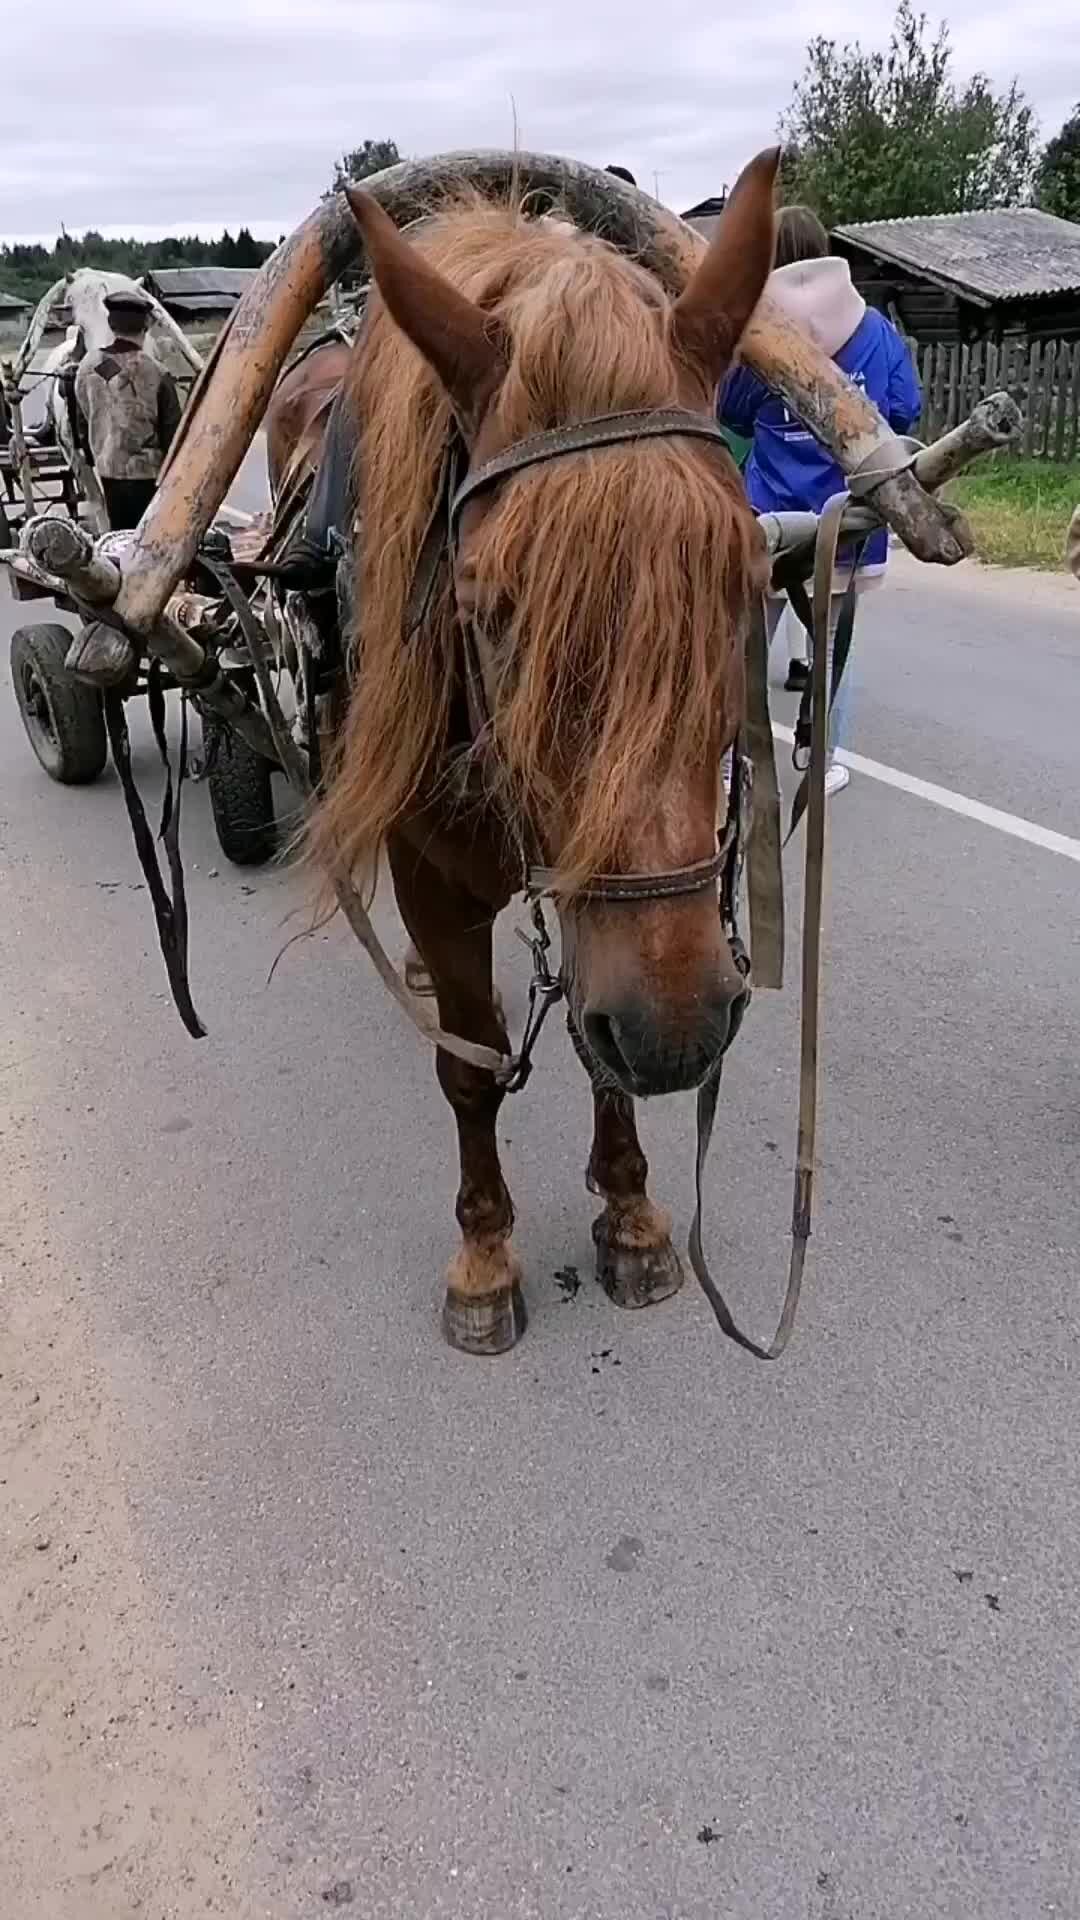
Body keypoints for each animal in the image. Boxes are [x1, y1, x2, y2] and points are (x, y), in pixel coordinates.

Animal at [294, 153, 772, 1351]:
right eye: (489, 604)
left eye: (749, 579)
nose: (679, 1028)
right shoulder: (432, 872)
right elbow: (468, 1067)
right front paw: (483, 1252)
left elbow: (599, 1054)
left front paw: (633, 1212)